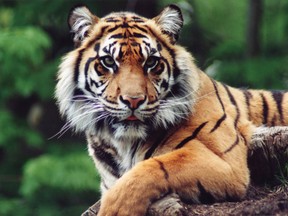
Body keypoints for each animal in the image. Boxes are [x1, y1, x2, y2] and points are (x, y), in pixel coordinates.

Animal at [55, 3, 286, 216]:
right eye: (108, 61)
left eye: (151, 62)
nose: (133, 101)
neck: (123, 144)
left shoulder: (227, 163)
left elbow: (152, 167)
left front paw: (116, 209)